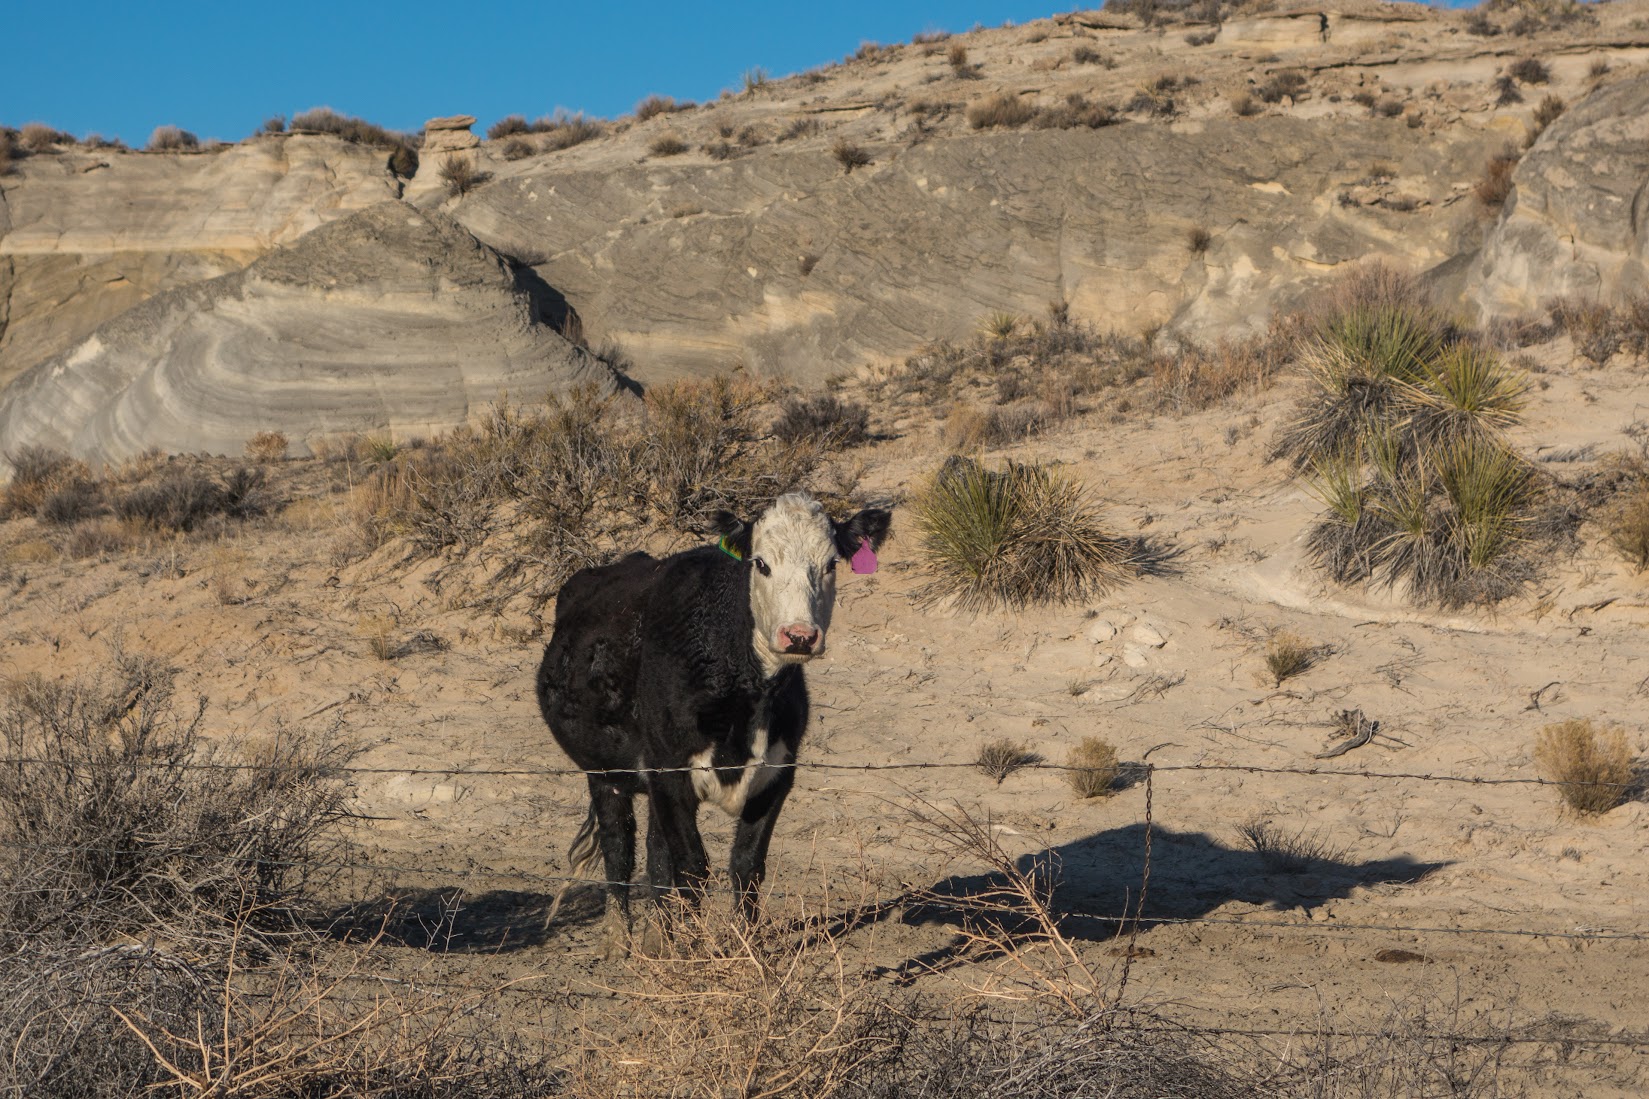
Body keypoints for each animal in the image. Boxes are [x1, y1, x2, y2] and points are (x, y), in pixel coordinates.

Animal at [540, 488, 890, 950]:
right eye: (761, 563)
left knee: (654, 853)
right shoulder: (670, 773)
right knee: (620, 847)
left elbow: (745, 865)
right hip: (604, 770)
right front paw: (694, 952)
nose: (799, 636)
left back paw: (656, 939)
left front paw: (747, 950)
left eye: (831, 564)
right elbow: (691, 867)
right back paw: (620, 941)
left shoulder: (776, 776)